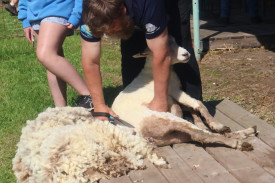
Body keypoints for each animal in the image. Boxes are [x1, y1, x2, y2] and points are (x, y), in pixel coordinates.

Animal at [111, 35, 258, 150]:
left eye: (175, 41)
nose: (186, 54)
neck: (150, 71)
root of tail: (139, 134)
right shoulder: (174, 91)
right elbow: (198, 103)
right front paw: (216, 125)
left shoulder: (174, 96)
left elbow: (191, 108)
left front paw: (205, 122)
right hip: (164, 119)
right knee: (200, 134)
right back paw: (239, 141)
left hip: (174, 135)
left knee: (196, 135)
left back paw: (245, 132)